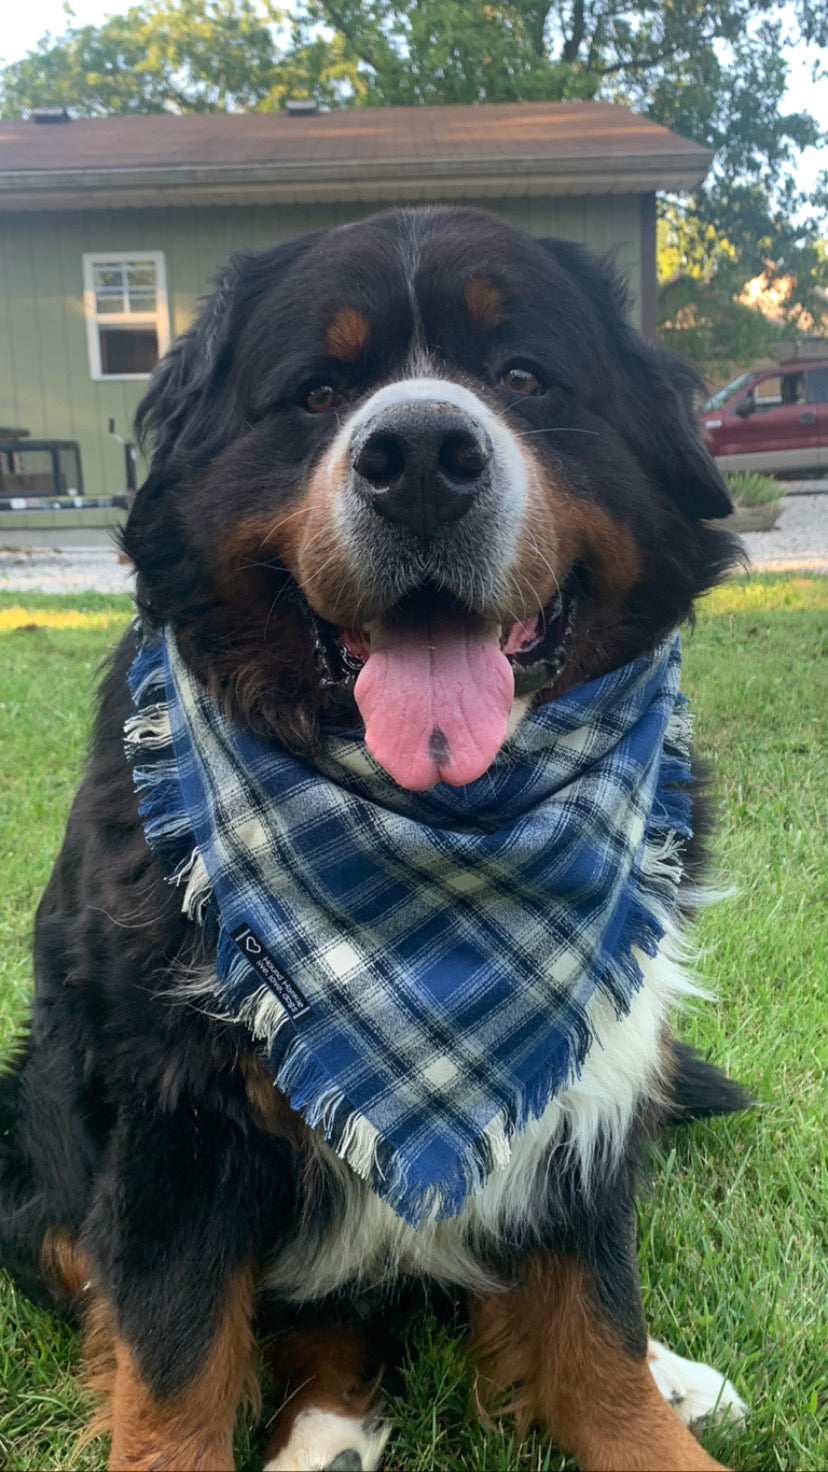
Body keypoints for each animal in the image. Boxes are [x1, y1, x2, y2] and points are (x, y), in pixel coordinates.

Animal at [1, 207, 748, 1472]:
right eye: (317, 390)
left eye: (523, 375)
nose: (423, 457)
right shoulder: (170, 1114)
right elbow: (173, 1361)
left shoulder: (589, 1086)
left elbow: (596, 1324)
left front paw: (649, 1410)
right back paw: (327, 1432)